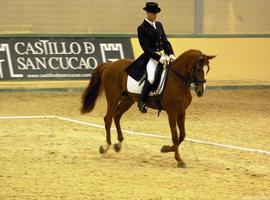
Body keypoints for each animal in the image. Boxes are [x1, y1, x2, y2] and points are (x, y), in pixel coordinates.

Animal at [79, 49, 215, 167]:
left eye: (207, 69)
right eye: (198, 68)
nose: (200, 91)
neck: (178, 80)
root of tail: (110, 64)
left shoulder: (182, 111)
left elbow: (182, 135)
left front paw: (166, 149)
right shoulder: (172, 112)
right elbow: (175, 136)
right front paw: (179, 160)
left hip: (128, 99)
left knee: (117, 116)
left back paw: (118, 144)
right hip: (113, 98)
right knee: (108, 118)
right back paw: (106, 147)